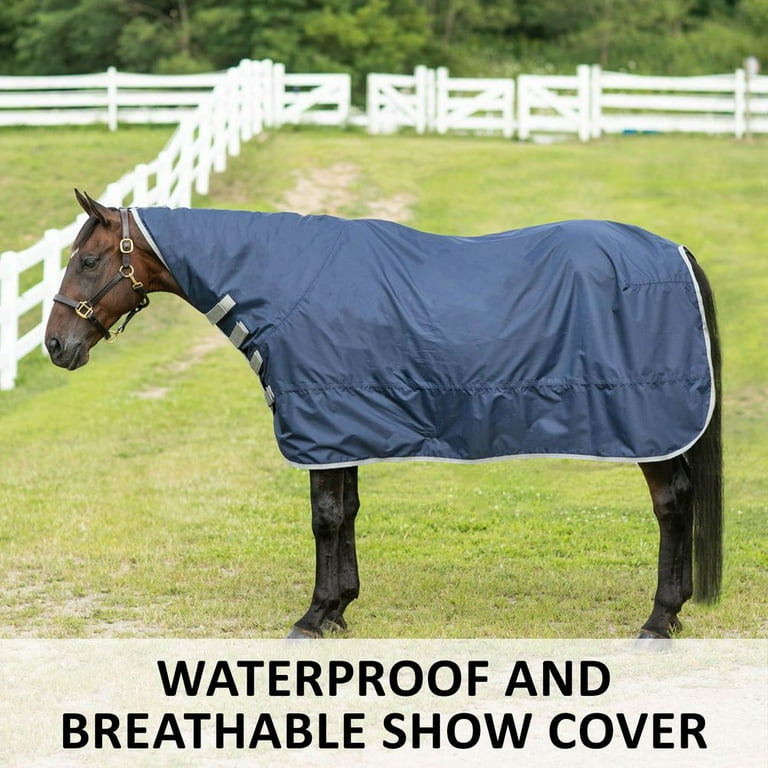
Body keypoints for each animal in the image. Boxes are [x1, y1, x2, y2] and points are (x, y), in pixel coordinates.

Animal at [45, 190, 722, 640]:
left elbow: (323, 518)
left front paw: (311, 617)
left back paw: (659, 618)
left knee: (672, 506)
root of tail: (676, 252)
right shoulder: (341, 427)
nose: (56, 346)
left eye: (87, 261)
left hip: (651, 426)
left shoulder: (321, 426)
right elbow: (345, 514)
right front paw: (339, 608)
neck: (283, 284)